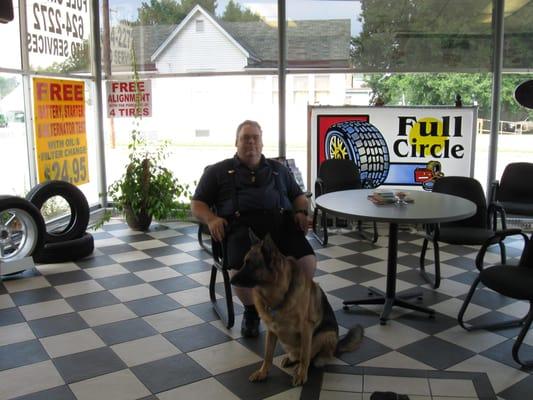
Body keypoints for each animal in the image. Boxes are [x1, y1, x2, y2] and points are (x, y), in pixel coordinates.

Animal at [231, 231, 364, 388]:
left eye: (251, 265)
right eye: (243, 262)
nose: (231, 281)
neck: (278, 294)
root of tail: (336, 346)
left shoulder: (306, 329)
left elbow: (305, 355)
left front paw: (301, 375)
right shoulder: (271, 330)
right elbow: (268, 355)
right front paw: (263, 372)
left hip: (324, 335)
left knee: (312, 356)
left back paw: (301, 366)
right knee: (296, 355)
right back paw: (291, 360)